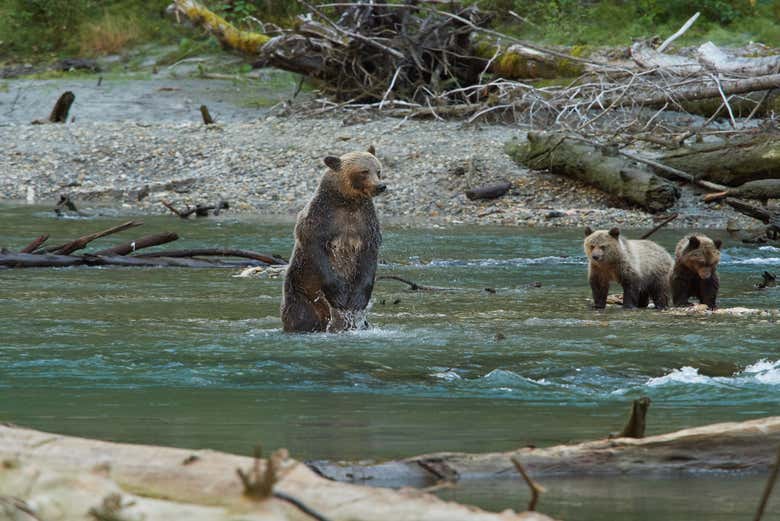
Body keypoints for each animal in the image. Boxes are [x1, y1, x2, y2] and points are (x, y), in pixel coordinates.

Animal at [281, 145, 386, 333]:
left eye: (378, 170)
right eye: (364, 171)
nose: (381, 186)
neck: (348, 202)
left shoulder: (366, 225)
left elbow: (368, 260)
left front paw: (358, 300)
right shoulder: (320, 220)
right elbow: (317, 253)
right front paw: (339, 295)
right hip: (300, 292)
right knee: (300, 317)